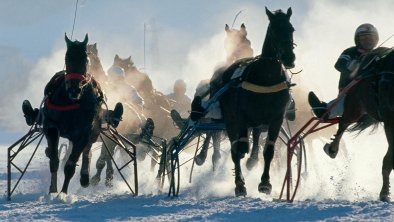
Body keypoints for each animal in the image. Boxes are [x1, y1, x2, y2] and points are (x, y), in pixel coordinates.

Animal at [217, 7, 294, 197]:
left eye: (291, 29)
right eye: (274, 30)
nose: (290, 58)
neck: (266, 78)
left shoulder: (276, 118)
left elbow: (269, 150)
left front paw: (265, 183)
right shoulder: (241, 117)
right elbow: (239, 148)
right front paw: (241, 182)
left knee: (256, 137)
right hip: (230, 119)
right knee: (235, 149)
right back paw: (240, 182)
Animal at [320, 46, 394, 201]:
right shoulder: (390, 121)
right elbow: (389, 159)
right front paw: (384, 193)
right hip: (355, 103)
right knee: (343, 122)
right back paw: (332, 148)